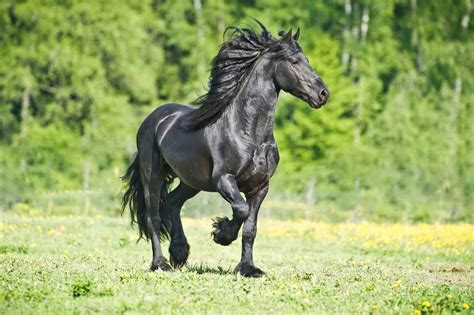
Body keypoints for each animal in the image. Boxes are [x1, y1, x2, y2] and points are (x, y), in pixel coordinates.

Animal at [122, 22, 328, 278]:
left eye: (306, 59)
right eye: (293, 61)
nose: (323, 93)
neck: (249, 133)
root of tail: (153, 119)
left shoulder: (260, 187)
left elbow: (250, 228)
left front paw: (248, 268)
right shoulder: (224, 180)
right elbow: (240, 210)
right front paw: (221, 234)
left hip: (191, 181)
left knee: (173, 201)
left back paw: (179, 252)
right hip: (152, 176)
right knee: (154, 217)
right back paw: (161, 264)